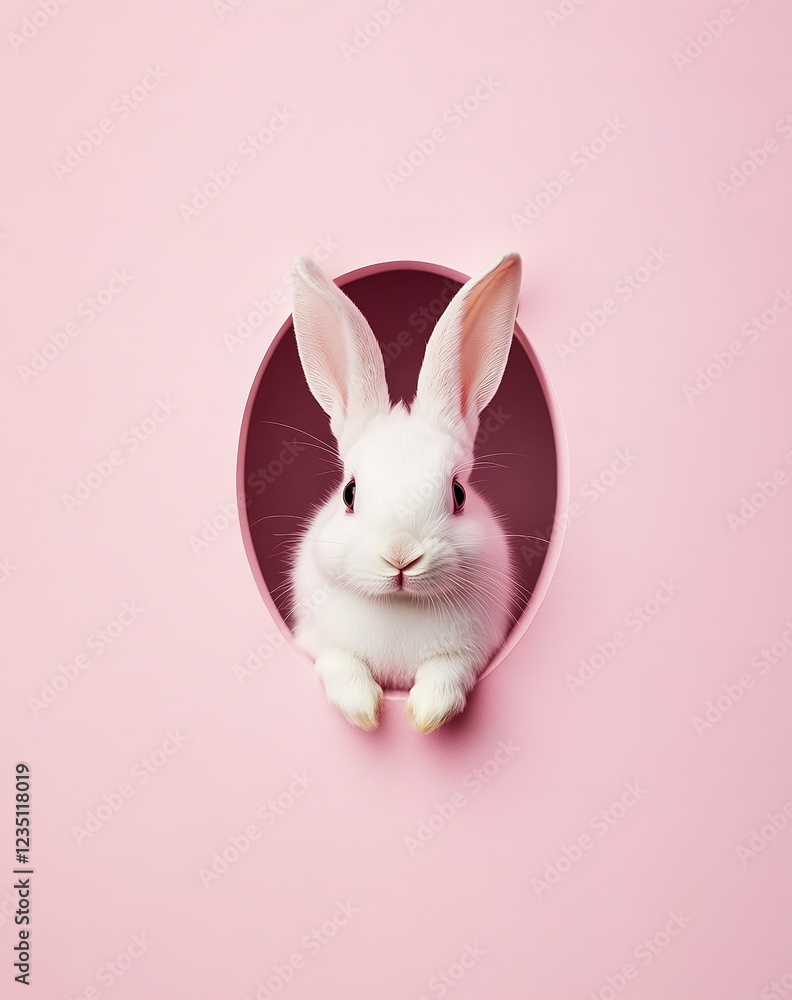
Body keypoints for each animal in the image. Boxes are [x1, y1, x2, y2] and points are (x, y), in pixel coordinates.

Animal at [288, 252, 522, 732]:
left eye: (459, 494)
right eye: (349, 493)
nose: (400, 556)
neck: (399, 605)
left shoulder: (476, 650)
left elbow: (448, 672)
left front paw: (426, 716)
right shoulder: (315, 640)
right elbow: (339, 664)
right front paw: (364, 711)